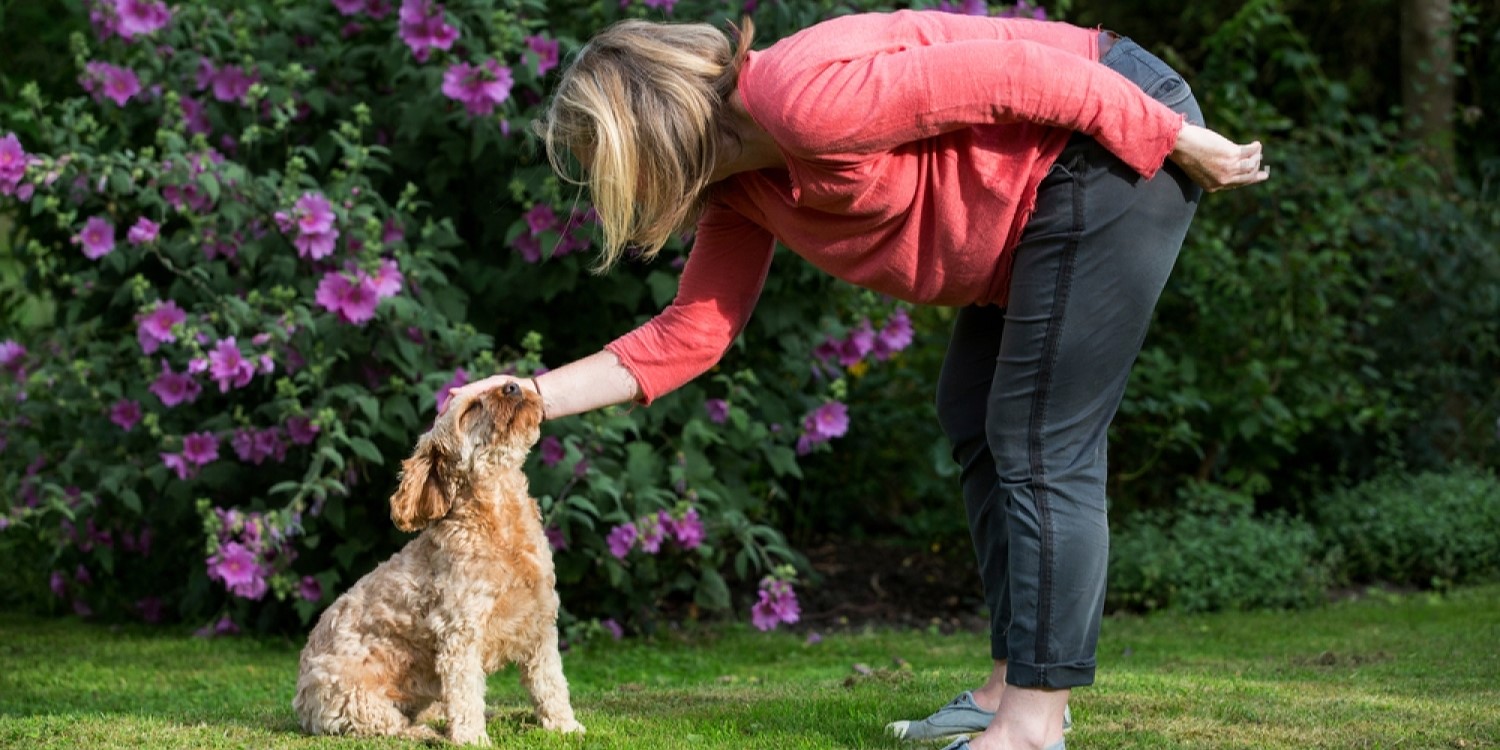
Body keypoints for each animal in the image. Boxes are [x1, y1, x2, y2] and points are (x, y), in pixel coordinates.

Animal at [291, 384, 579, 747]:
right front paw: (473, 740)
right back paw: (430, 734)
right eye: (471, 408)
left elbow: (551, 685)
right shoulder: (460, 633)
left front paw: (566, 727)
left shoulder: (540, 624)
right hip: (355, 698)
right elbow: (465, 694)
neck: (501, 527)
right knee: (392, 727)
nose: (512, 385)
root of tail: (300, 704)